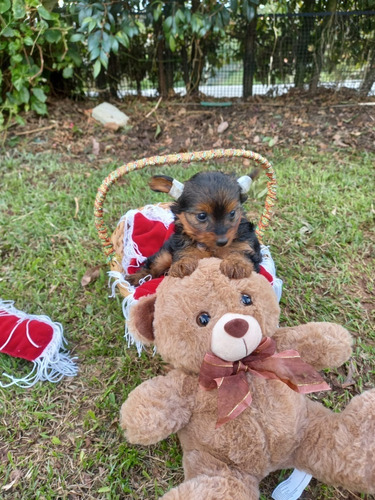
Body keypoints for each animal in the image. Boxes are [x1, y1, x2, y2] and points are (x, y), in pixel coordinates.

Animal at [126, 170, 262, 284]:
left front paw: (236, 263)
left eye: (232, 213)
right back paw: (136, 277)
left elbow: (240, 251)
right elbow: (185, 251)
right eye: (201, 216)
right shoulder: (181, 243)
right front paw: (183, 264)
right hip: (165, 254)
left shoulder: (247, 244)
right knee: (154, 263)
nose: (223, 241)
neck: (210, 247)